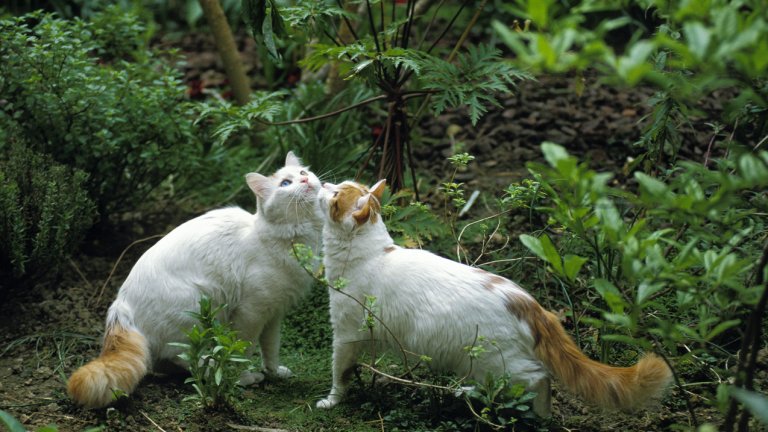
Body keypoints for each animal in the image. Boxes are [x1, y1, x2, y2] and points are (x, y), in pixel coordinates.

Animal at [69, 152, 324, 408]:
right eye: (285, 184)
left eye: (302, 173)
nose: (305, 180)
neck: (295, 240)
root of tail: (120, 303)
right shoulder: (251, 313)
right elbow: (242, 350)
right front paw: (241, 377)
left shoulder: (274, 314)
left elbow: (271, 350)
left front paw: (274, 372)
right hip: (198, 310)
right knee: (185, 357)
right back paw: (213, 372)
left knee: (163, 361)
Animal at [312, 179, 672, 416]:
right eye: (338, 184)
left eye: (334, 193)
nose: (324, 181)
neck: (371, 253)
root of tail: (532, 305)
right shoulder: (361, 335)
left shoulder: (345, 334)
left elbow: (338, 373)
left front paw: (332, 400)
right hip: (476, 363)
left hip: (495, 362)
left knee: (539, 378)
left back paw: (540, 416)